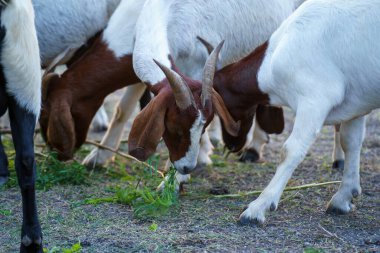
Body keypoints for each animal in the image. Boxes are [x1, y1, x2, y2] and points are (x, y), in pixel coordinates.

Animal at [212, 0, 378, 223]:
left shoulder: (315, 99)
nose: (231, 145)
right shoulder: (355, 105)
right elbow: (350, 142)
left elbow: (290, 150)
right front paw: (343, 198)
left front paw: (257, 208)